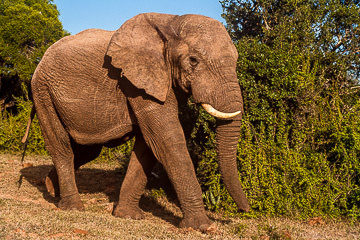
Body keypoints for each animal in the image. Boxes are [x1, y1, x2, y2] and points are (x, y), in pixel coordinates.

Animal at [24, 12, 250, 231]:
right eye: (193, 60)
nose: (245, 210)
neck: (171, 21)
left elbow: (148, 147)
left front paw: (128, 216)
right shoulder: (135, 83)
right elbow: (167, 142)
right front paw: (203, 227)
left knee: (87, 150)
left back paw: (51, 187)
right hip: (43, 92)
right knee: (62, 148)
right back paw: (73, 207)